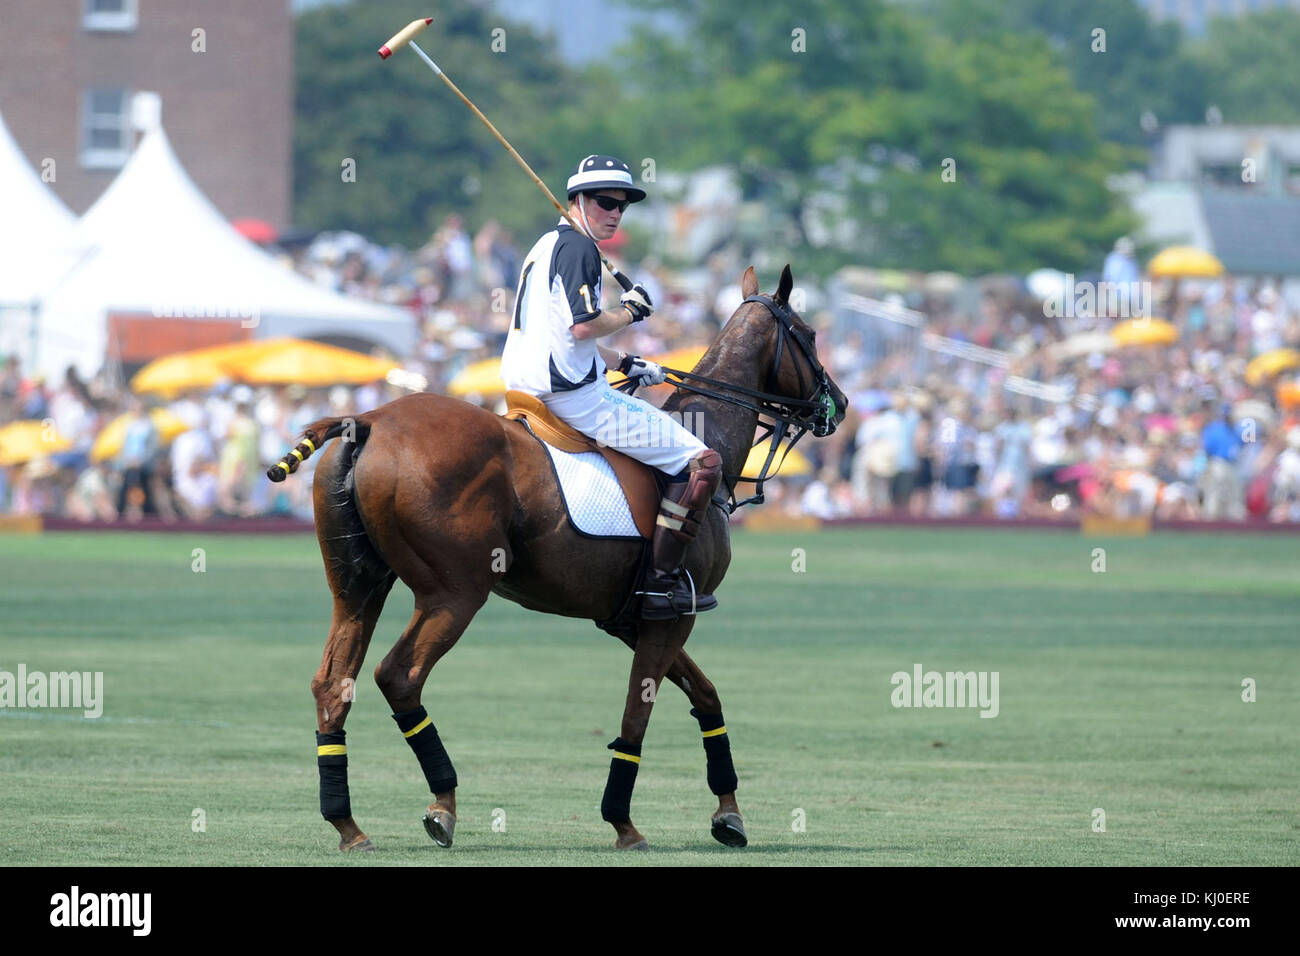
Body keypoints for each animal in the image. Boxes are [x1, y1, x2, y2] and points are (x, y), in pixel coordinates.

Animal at [269, 264, 847, 853]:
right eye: (809, 335)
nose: (839, 405)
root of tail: (367, 420)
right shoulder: (673, 613)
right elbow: (637, 715)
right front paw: (624, 823)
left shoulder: (629, 619)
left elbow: (706, 696)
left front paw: (728, 813)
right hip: (454, 592)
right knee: (399, 676)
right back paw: (442, 805)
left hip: (359, 585)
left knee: (333, 682)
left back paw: (347, 824)